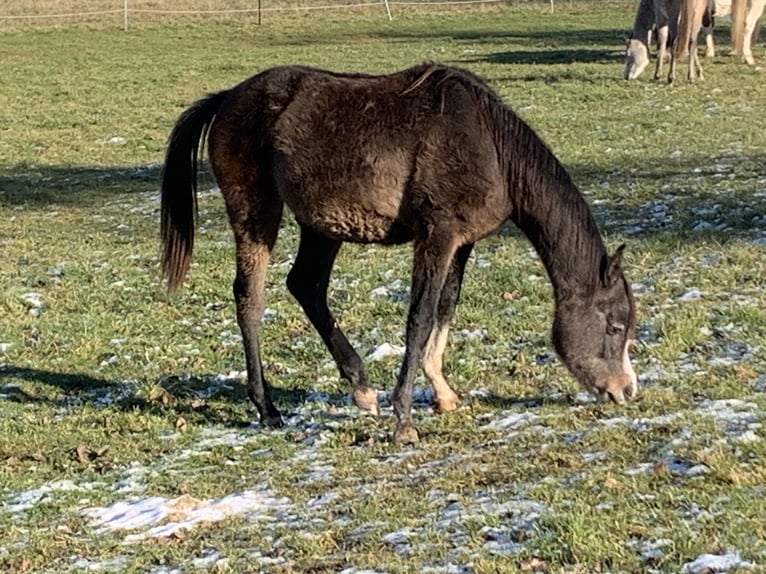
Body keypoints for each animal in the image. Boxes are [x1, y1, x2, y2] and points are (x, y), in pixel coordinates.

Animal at [159, 63, 640, 444]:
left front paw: (442, 393)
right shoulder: (437, 234)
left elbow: (445, 307)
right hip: (256, 212)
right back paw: (267, 408)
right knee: (250, 299)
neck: (489, 145)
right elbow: (419, 316)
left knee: (306, 285)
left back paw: (360, 388)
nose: (626, 389)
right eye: (615, 326)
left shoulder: (461, 241)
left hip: (322, 226)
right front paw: (404, 420)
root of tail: (227, 99)